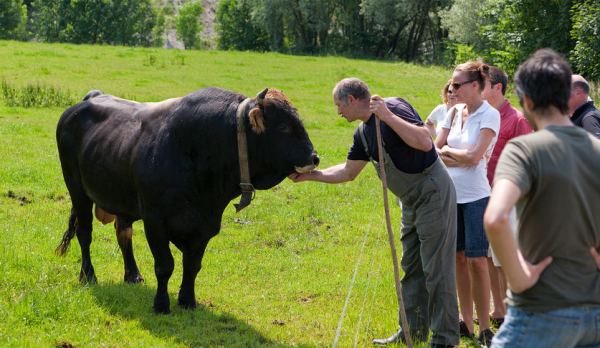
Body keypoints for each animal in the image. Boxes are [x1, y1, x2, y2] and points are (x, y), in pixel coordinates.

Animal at [54, 86, 322, 312]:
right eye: (283, 126)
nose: (314, 157)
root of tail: (89, 98)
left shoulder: (206, 225)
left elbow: (192, 266)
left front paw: (187, 300)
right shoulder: (154, 220)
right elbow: (165, 266)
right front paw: (161, 305)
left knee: (123, 232)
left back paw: (132, 274)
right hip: (76, 188)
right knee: (84, 233)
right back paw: (88, 276)